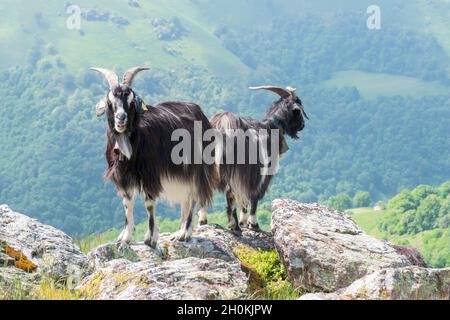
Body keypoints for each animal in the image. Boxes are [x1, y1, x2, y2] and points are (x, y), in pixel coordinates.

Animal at [90, 67, 215, 248]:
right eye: (109, 102)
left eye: (131, 101)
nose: (121, 119)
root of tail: (199, 112)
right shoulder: (123, 176)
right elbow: (127, 204)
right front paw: (125, 238)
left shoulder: (150, 174)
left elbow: (149, 204)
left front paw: (150, 238)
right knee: (185, 199)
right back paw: (178, 231)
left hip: (195, 169)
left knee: (192, 197)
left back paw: (184, 234)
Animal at [199, 86, 308, 234]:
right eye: (299, 108)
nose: (302, 125)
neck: (271, 127)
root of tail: (221, 126)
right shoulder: (261, 173)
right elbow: (254, 196)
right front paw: (253, 224)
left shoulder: (246, 176)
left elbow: (244, 198)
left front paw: (244, 222)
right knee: (230, 194)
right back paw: (234, 226)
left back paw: (203, 221)